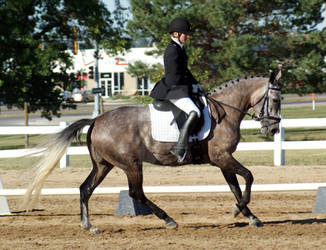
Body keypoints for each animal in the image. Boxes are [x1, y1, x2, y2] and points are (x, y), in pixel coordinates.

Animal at [22, 71, 282, 234]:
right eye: (276, 99)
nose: (272, 129)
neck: (225, 112)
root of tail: (96, 120)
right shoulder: (223, 157)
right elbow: (248, 177)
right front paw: (239, 211)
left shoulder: (221, 161)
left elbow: (235, 187)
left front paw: (249, 215)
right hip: (131, 165)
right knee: (136, 193)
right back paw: (169, 220)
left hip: (104, 165)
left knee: (85, 189)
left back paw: (89, 226)